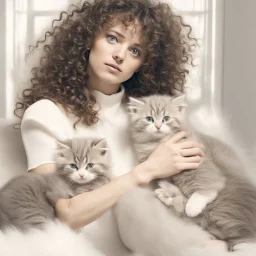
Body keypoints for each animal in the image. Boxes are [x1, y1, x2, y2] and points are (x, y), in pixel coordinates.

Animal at [128, 94, 256, 250]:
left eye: (166, 118)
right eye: (149, 119)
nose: (158, 126)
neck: (158, 144)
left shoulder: (198, 163)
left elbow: (206, 183)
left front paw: (194, 205)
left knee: (243, 237)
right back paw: (168, 194)